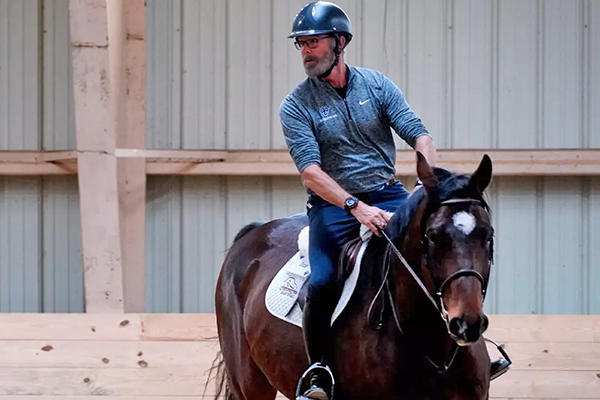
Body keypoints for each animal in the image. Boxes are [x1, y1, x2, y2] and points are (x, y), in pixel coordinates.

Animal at [211, 153, 496, 400]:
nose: (467, 324)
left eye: (488, 234)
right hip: (249, 383)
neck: (426, 341)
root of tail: (254, 232)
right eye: (434, 236)